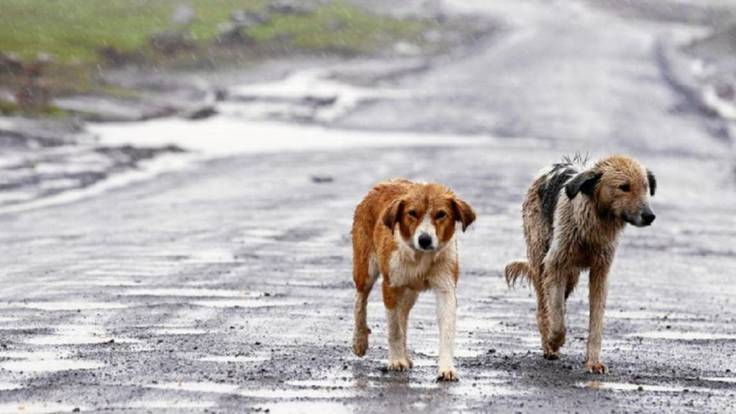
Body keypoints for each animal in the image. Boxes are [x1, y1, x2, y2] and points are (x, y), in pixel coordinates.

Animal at [352, 178, 478, 382]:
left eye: (441, 214)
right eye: (412, 213)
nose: (425, 239)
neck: (421, 258)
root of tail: (384, 183)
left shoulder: (446, 288)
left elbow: (446, 330)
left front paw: (446, 368)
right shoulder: (390, 286)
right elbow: (394, 329)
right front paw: (396, 361)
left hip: (410, 292)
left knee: (403, 315)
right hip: (366, 270)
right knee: (359, 302)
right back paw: (359, 341)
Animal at [506, 154, 656, 374]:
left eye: (645, 187)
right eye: (624, 187)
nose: (650, 216)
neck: (594, 225)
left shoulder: (600, 272)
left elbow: (596, 323)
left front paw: (593, 362)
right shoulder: (554, 265)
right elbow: (557, 316)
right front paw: (554, 339)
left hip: (571, 276)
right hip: (542, 261)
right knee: (543, 308)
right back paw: (549, 347)